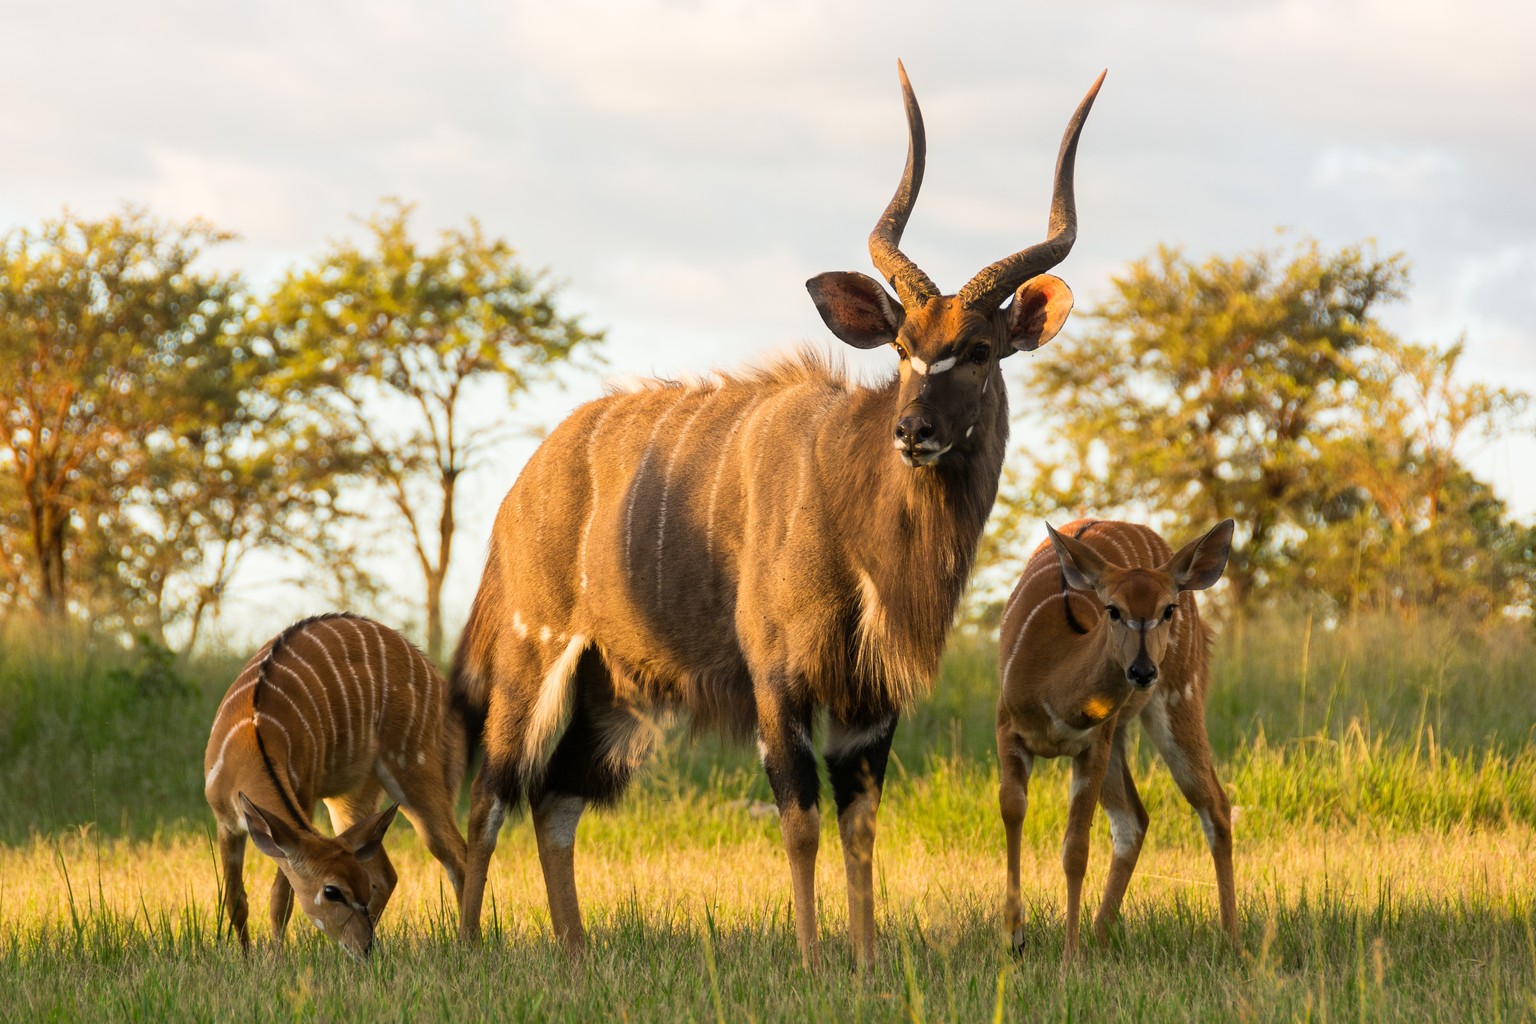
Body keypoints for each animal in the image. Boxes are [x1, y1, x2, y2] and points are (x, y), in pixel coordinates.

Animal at [204, 614, 466, 957]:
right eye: (333, 891)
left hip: (414, 768)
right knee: (388, 873)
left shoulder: (303, 797)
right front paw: (248, 959)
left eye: (347, 889)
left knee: (457, 854)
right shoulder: (226, 822)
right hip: (352, 799)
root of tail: (435, 676)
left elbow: (280, 898)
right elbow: (236, 899)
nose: (365, 948)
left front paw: (275, 958)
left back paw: (470, 942)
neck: (251, 738)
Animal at [451, 64, 1105, 970]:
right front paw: (813, 959)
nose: (914, 431)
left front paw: (867, 961)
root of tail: (524, 485)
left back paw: (577, 956)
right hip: (533, 658)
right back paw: (469, 948)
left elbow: (861, 826)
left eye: (977, 350)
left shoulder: (869, 703)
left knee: (554, 803)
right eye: (902, 347)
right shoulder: (780, 679)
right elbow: (799, 822)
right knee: (490, 795)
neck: (852, 499)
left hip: (613, 694)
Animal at [995, 521, 1234, 964]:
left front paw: (1069, 957)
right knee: (1135, 819)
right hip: (1121, 735)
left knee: (1214, 804)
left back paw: (1232, 940)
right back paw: (1100, 935)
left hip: (1178, 698)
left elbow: (1075, 849)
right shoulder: (1009, 731)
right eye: (1113, 609)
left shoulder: (1092, 745)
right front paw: (1015, 940)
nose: (1142, 671)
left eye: (1167, 609)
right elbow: (1013, 810)